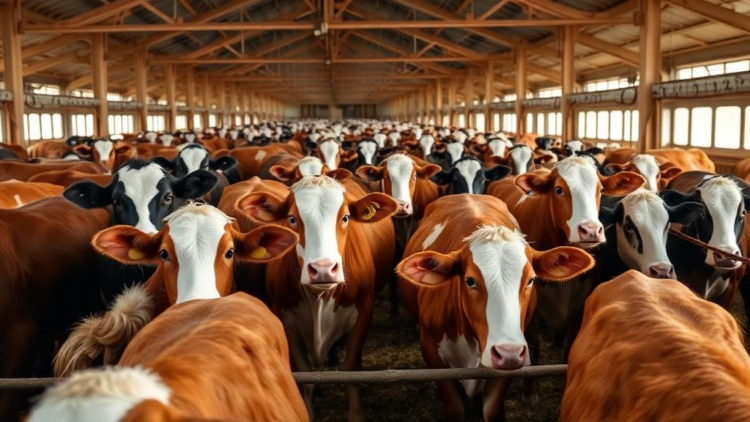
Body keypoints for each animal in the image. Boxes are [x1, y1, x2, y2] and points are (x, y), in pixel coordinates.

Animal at [237, 175, 398, 420]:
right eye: (292, 218)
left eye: (345, 217)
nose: (323, 269)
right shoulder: (284, 317)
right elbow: (305, 375)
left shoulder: (364, 310)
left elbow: (351, 368)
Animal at [398, 194, 594, 420]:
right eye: (470, 281)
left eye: (531, 280)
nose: (508, 352)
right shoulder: (430, 350)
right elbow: (454, 406)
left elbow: (492, 409)